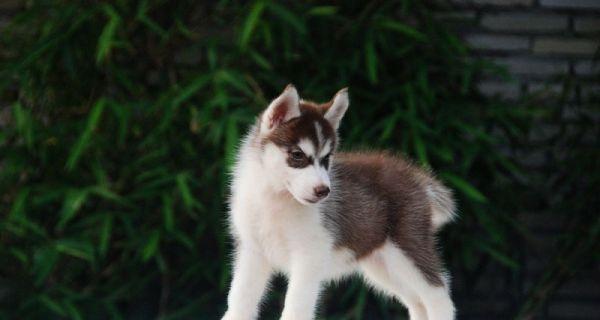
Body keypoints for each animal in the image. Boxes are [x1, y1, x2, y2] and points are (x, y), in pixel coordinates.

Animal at [223, 85, 458, 320]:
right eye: (297, 155)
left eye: (327, 158)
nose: (324, 191)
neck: (275, 197)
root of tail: (414, 175)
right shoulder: (252, 252)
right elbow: (239, 299)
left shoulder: (310, 257)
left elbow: (296, 307)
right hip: (381, 264)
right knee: (416, 301)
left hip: (406, 250)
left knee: (438, 295)